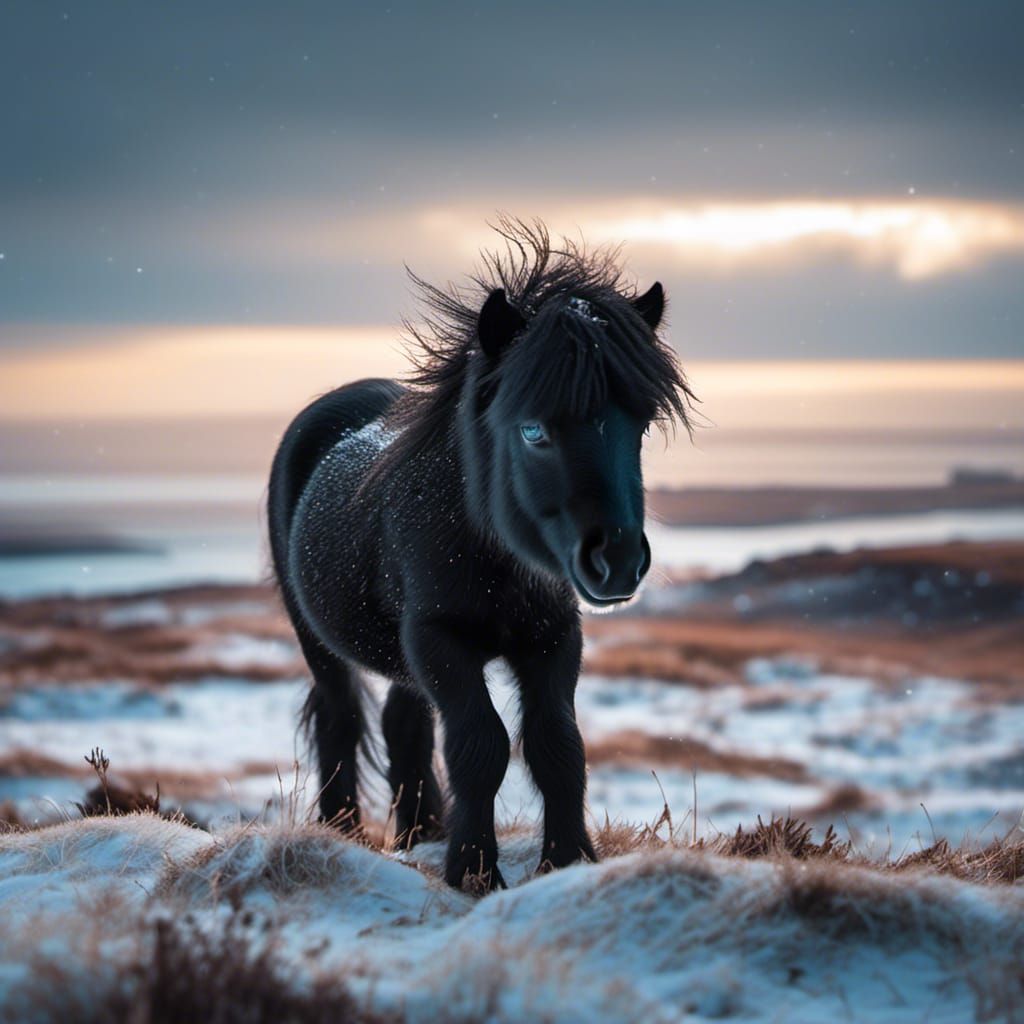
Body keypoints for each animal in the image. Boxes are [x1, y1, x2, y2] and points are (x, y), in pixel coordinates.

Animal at [268, 219, 692, 891]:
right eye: (533, 430)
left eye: (642, 425)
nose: (619, 561)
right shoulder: (440, 639)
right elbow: (480, 746)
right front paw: (473, 872)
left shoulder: (553, 638)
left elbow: (557, 745)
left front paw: (566, 861)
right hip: (321, 642)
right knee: (340, 719)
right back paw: (346, 834)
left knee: (403, 724)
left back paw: (419, 833)